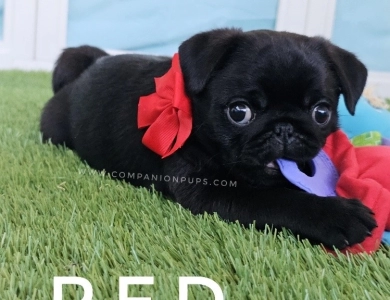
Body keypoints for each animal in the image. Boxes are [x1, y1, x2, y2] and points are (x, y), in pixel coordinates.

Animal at [41, 28, 376, 250]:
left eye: (322, 113)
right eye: (239, 112)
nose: (284, 128)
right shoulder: (210, 190)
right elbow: (278, 199)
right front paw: (337, 215)